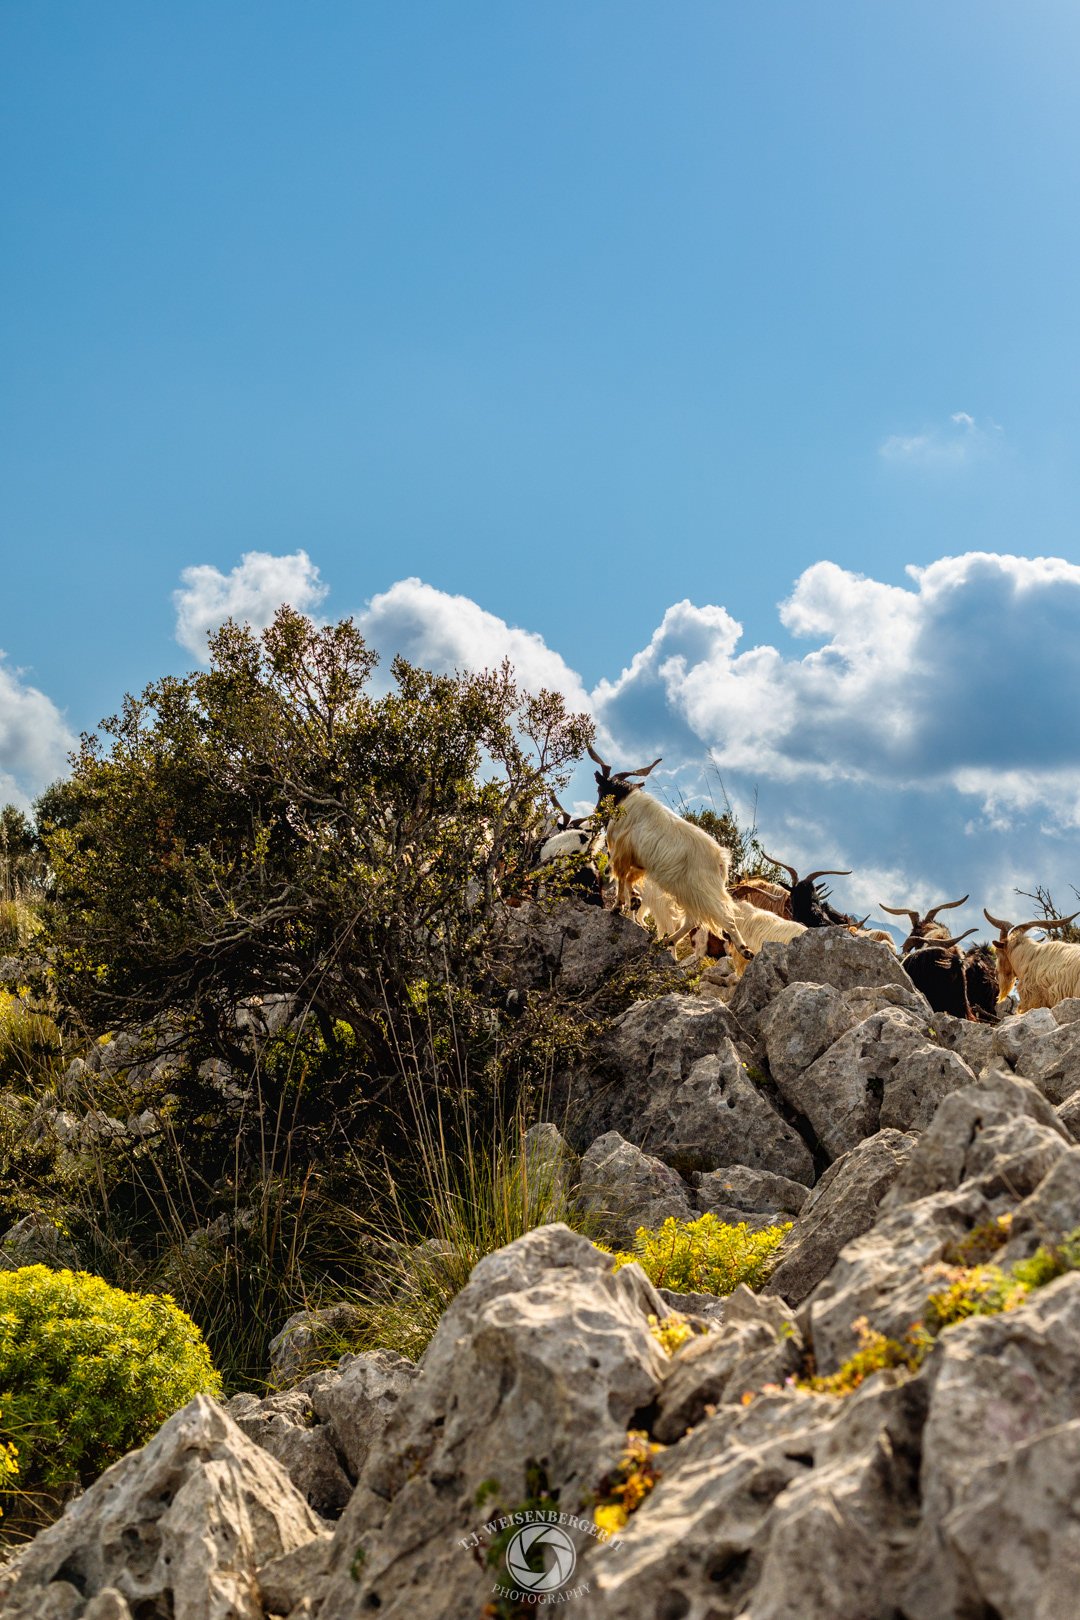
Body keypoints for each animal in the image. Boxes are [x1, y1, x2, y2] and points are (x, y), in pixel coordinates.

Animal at [589, 747, 750, 953]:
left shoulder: (622, 852)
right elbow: (630, 879)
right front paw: (635, 899)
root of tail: (721, 862)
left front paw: (617, 906)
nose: (596, 811)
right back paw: (667, 941)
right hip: (688, 893)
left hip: (701, 892)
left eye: (599, 789)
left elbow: (622, 878)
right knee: (692, 920)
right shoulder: (640, 862)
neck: (625, 803)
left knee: (726, 918)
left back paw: (745, 949)